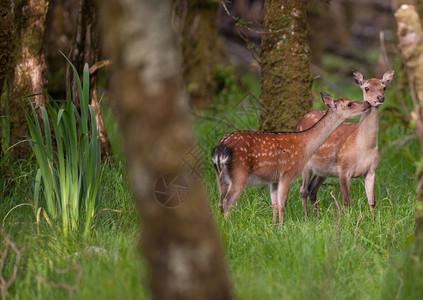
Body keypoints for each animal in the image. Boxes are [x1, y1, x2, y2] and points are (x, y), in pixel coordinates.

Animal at [212, 92, 372, 224]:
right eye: (350, 103)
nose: (367, 103)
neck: (304, 146)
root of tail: (219, 150)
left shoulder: (274, 179)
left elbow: (275, 204)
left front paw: (274, 225)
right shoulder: (288, 172)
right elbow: (283, 203)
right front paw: (282, 227)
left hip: (220, 176)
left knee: (219, 201)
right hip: (240, 172)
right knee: (227, 201)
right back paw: (229, 224)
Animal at [296, 70, 396, 216]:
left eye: (384, 87)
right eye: (366, 88)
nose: (380, 98)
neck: (363, 147)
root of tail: (299, 122)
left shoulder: (371, 169)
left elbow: (372, 201)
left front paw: (374, 218)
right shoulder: (343, 169)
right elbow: (347, 202)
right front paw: (346, 219)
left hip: (322, 170)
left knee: (312, 188)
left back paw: (315, 216)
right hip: (306, 164)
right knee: (303, 189)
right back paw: (307, 216)